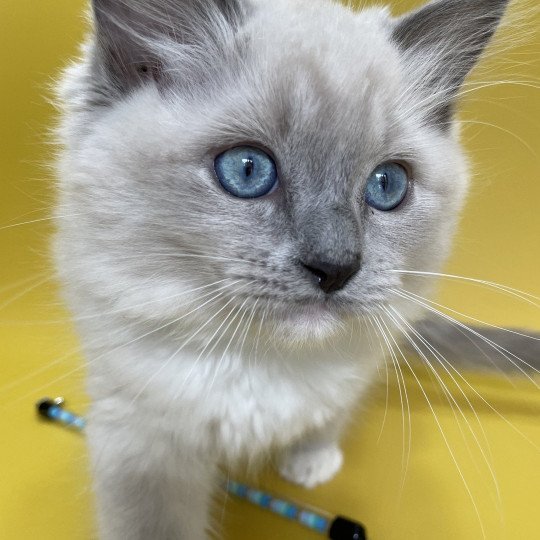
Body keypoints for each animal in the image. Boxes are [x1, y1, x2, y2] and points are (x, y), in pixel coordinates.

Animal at [54, 1, 516, 540]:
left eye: (387, 185)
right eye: (247, 170)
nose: (335, 268)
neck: (263, 365)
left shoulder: (357, 371)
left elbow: (328, 416)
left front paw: (311, 464)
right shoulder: (139, 439)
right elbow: (151, 521)